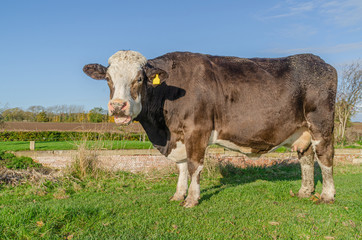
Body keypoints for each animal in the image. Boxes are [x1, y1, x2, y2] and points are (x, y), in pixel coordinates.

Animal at [83, 50, 338, 206]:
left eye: (139, 78)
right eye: (108, 78)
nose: (118, 106)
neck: (162, 131)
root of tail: (319, 62)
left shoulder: (197, 129)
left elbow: (194, 165)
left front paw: (191, 199)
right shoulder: (178, 136)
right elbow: (181, 166)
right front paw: (178, 195)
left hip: (321, 123)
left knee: (325, 156)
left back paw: (327, 195)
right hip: (302, 130)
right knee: (306, 157)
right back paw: (305, 191)